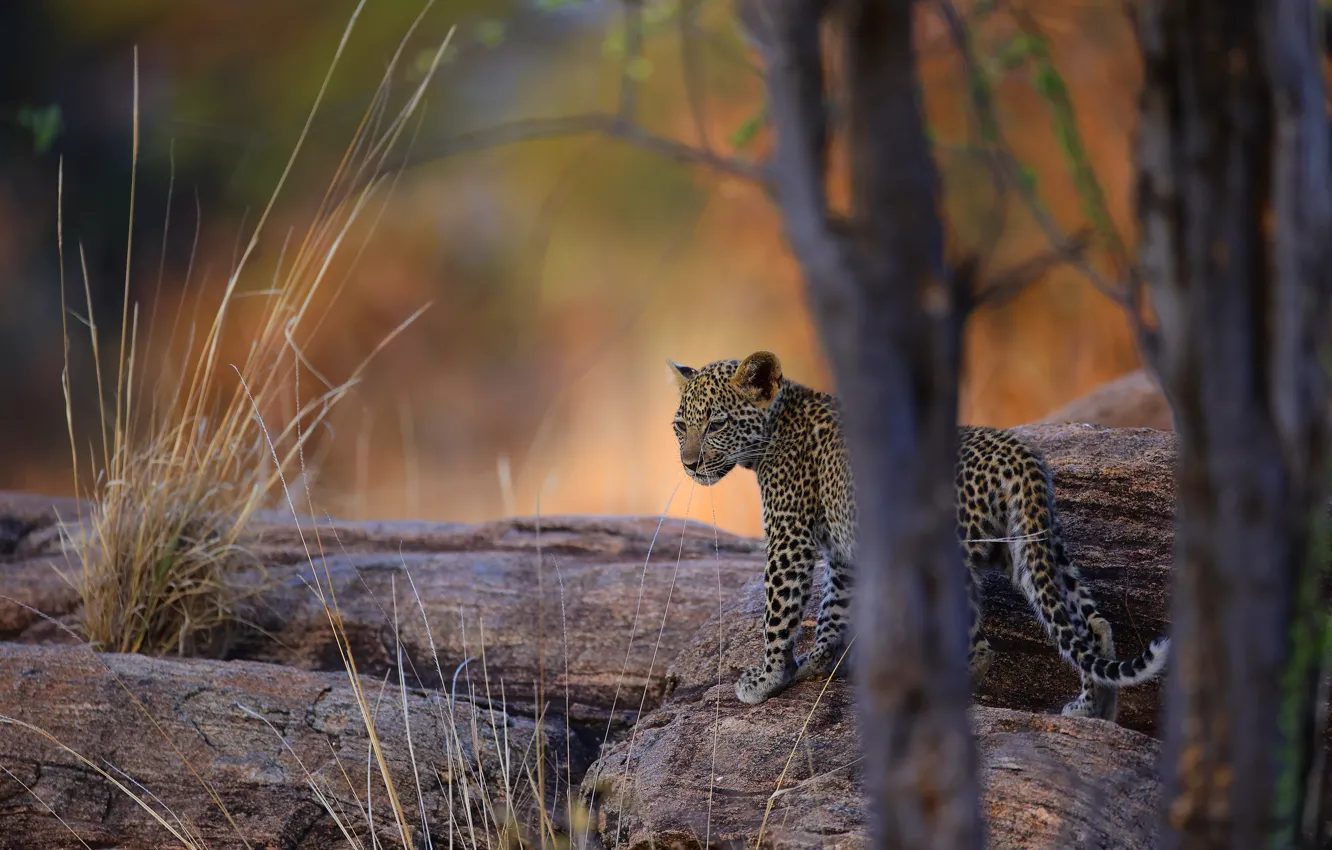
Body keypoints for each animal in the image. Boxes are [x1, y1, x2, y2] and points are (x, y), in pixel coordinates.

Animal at [668, 349, 1170, 718]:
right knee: (1090, 625)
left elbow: (778, 610)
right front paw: (818, 661)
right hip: (1034, 548)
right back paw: (1092, 709)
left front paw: (767, 678)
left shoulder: (789, 537)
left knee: (981, 646)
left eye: (716, 424)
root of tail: (1017, 451)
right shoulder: (844, 551)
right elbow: (833, 607)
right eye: (680, 426)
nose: (688, 465)